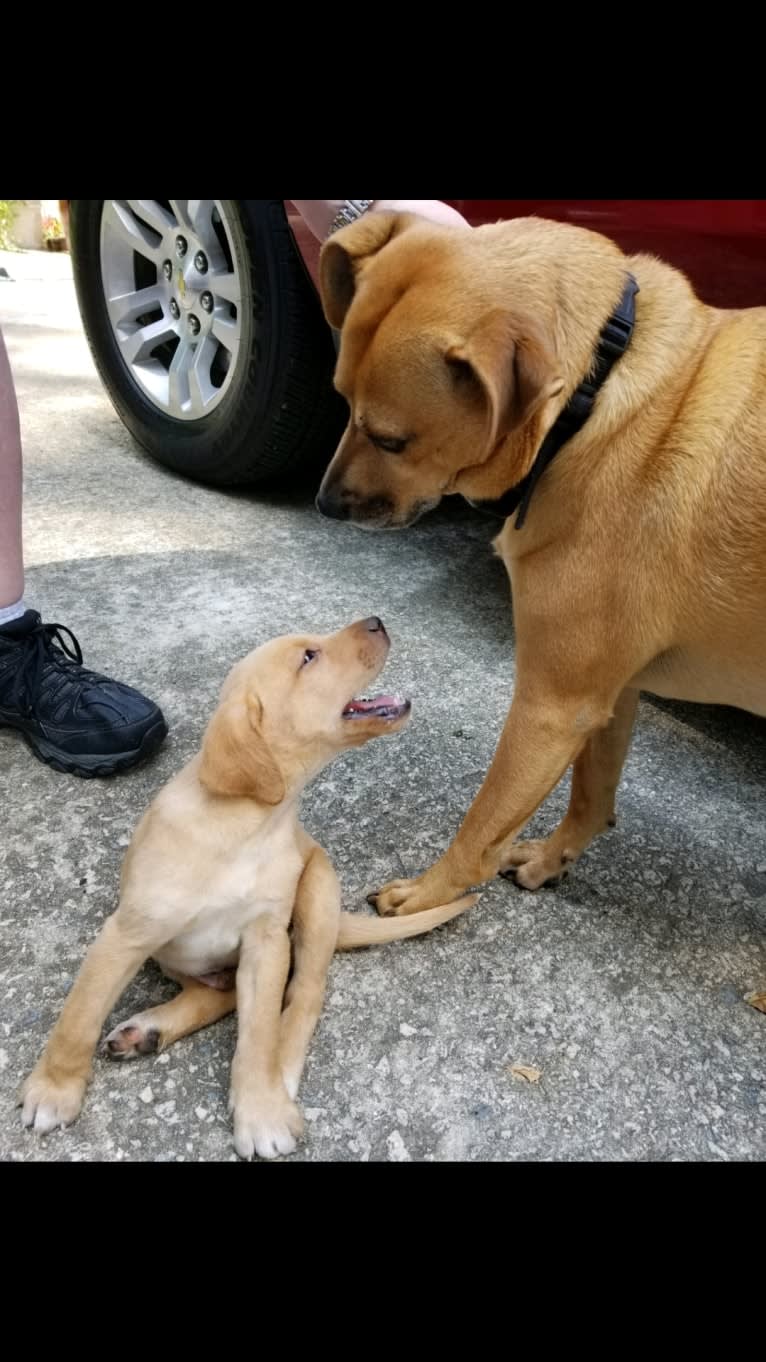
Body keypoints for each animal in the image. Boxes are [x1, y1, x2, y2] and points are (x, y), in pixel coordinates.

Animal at [20, 621, 474, 1160]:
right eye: (308, 657)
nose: (378, 621)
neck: (250, 825)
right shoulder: (127, 934)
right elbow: (79, 1017)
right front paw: (53, 1091)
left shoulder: (267, 940)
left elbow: (258, 1033)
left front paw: (260, 1110)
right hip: (173, 955)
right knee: (219, 995)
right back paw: (148, 1030)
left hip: (316, 893)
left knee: (303, 994)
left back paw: (279, 1072)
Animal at [312, 212, 763, 915]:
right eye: (339, 398)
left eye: (392, 439)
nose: (324, 504)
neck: (596, 395)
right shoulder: (609, 694)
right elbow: (592, 794)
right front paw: (554, 859)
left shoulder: (550, 707)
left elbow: (483, 823)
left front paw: (430, 894)